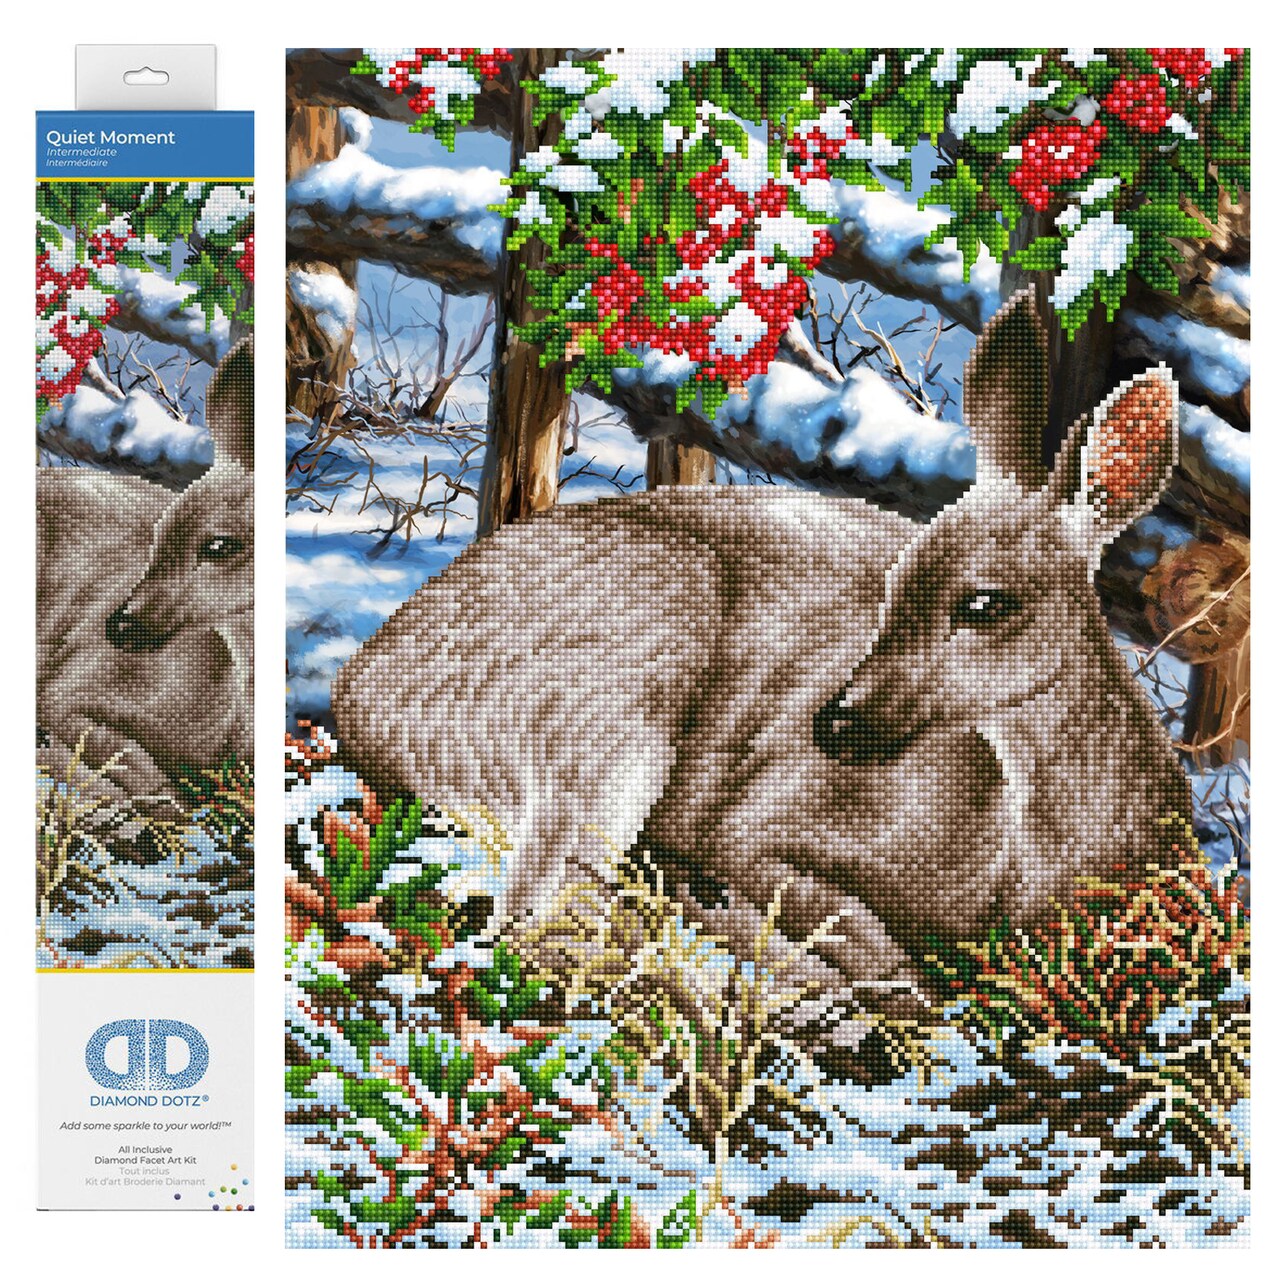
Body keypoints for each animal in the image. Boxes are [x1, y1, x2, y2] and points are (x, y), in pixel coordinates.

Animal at [332, 293, 1189, 1063]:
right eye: (895, 585)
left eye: (986, 603)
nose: (833, 722)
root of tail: (360, 692)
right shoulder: (756, 823)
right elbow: (863, 938)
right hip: (618, 697)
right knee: (543, 916)